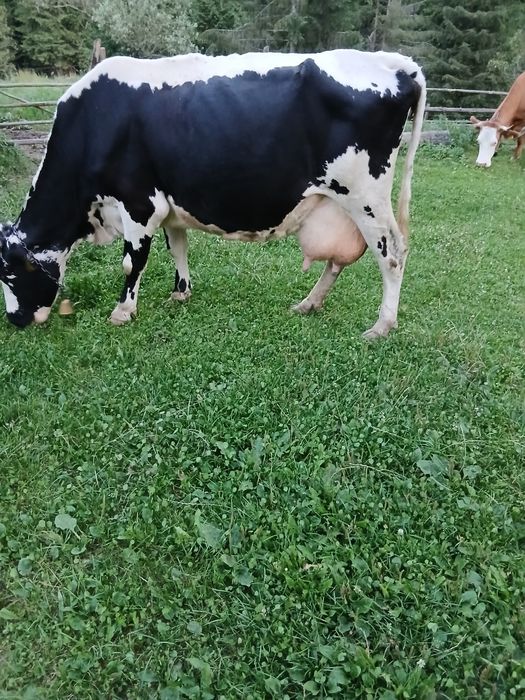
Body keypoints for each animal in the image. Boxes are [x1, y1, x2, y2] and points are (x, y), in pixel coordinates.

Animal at [0, 50, 426, 339]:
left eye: (9, 273)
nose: (14, 319)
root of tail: (395, 63)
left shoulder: (139, 203)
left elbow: (131, 262)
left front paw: (123, 311)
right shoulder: (169, 204)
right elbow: (178, 248)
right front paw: (180, 294)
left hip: (365, 195)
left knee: (392, 253)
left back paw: (382, 324)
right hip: (341, 201)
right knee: (340, 259)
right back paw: (309, 303)